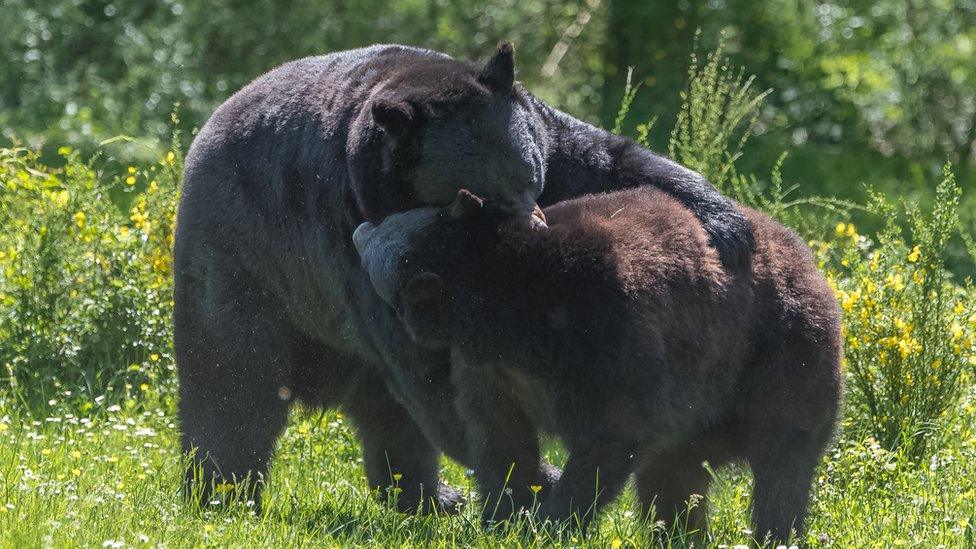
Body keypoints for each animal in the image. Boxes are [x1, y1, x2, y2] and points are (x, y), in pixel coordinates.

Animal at [173, 41, 756, 510]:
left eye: (528, 172)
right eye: (479, 196)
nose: (534, 225)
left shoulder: (550, 141)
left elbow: (611, 159)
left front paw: (728, 227)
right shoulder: (345, 227)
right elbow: (430, 362)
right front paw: (536, 478)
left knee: (387, 414)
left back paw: (429, 497)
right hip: (243, 265)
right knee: (232, 385)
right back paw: (221, 492)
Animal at [354, 188, 844, 540]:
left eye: (388, 228)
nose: (359, 228)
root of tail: (813, 265)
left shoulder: (609, 336)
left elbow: (612, 432)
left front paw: (551, 522)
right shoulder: (493, 370)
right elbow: (499, 436)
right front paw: (504, 517)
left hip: (782, 355)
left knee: (783, 461)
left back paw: (774, 532)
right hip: (693, 427)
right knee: (674, 482)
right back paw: (680, 536)